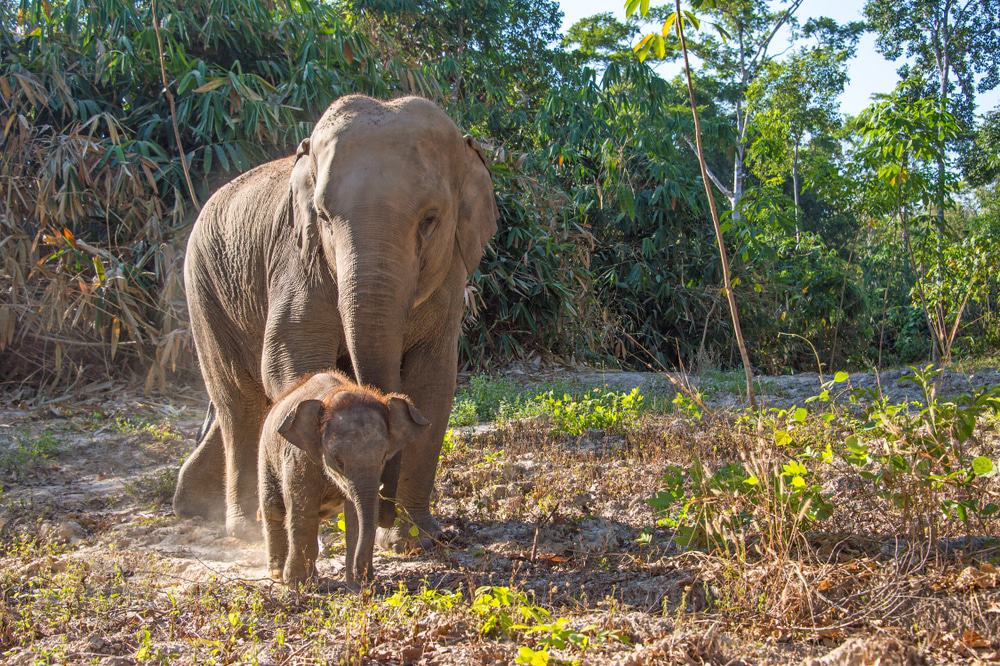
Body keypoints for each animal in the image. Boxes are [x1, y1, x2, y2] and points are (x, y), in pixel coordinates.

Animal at [173, 94, 498, 547]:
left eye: (430, 220)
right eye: (324, 218)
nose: (384, 516)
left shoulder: (449, 278)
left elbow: (434, 382)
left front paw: (417, 537)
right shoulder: (297, 259)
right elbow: (291, 363)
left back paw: (192, 501)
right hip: (204, 291)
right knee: (238, 403)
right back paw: (244, 527)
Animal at [258, 370, 429, 588]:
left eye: (383, 457)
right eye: (338, 461)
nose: (363, 578)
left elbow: (355, 515)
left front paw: (357, 586)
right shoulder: (299, 458)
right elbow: (302, 507)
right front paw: (298, 584)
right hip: (266, 454)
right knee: (273, 508)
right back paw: (278, 574)